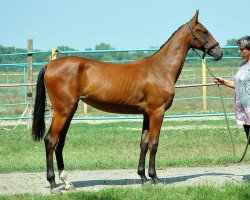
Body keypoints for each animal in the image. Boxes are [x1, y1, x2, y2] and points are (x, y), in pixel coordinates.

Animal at [32, 10, 222, 193]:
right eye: (204, 31)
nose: (219, 52)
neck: (161, 69)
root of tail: (49, 65)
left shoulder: (147, 114)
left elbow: (144, 143)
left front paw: (144, 178)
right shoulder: (157, 112)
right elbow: (154, 143)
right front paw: (155, 178)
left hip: (68, 111)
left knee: (60, 142)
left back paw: (67, 183)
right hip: (63, 111)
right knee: (51, 140)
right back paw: (53, 184)